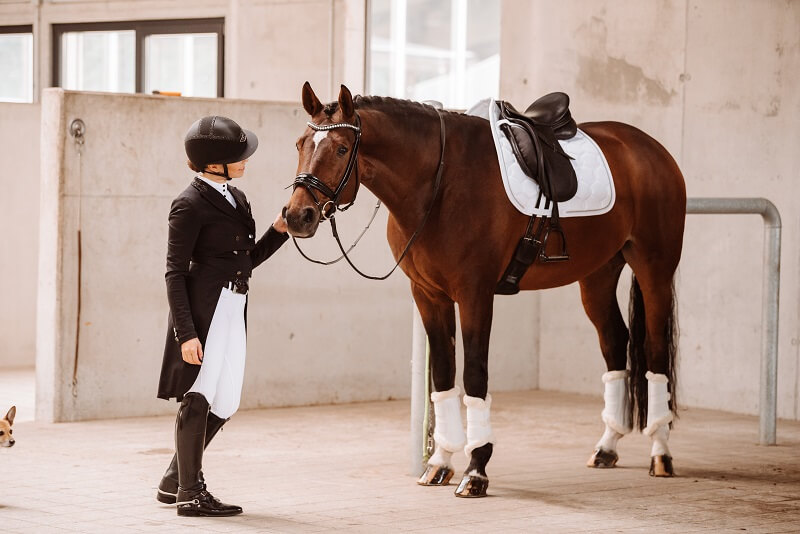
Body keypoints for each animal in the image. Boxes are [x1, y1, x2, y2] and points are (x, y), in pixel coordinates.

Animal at [282, 81, 688, 500]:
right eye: (300, 144)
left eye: (341, 148)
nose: (297, 216)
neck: (440, 184)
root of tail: (650, 149)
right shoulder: (428, 295)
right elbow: (444, 375)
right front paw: (440, 463)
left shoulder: (474, 294)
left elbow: (474, 376)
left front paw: (476, 469)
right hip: (598, 274)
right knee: (614, 342)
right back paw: (607, 447)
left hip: (654, 268)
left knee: (655, 351)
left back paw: (660, 452)